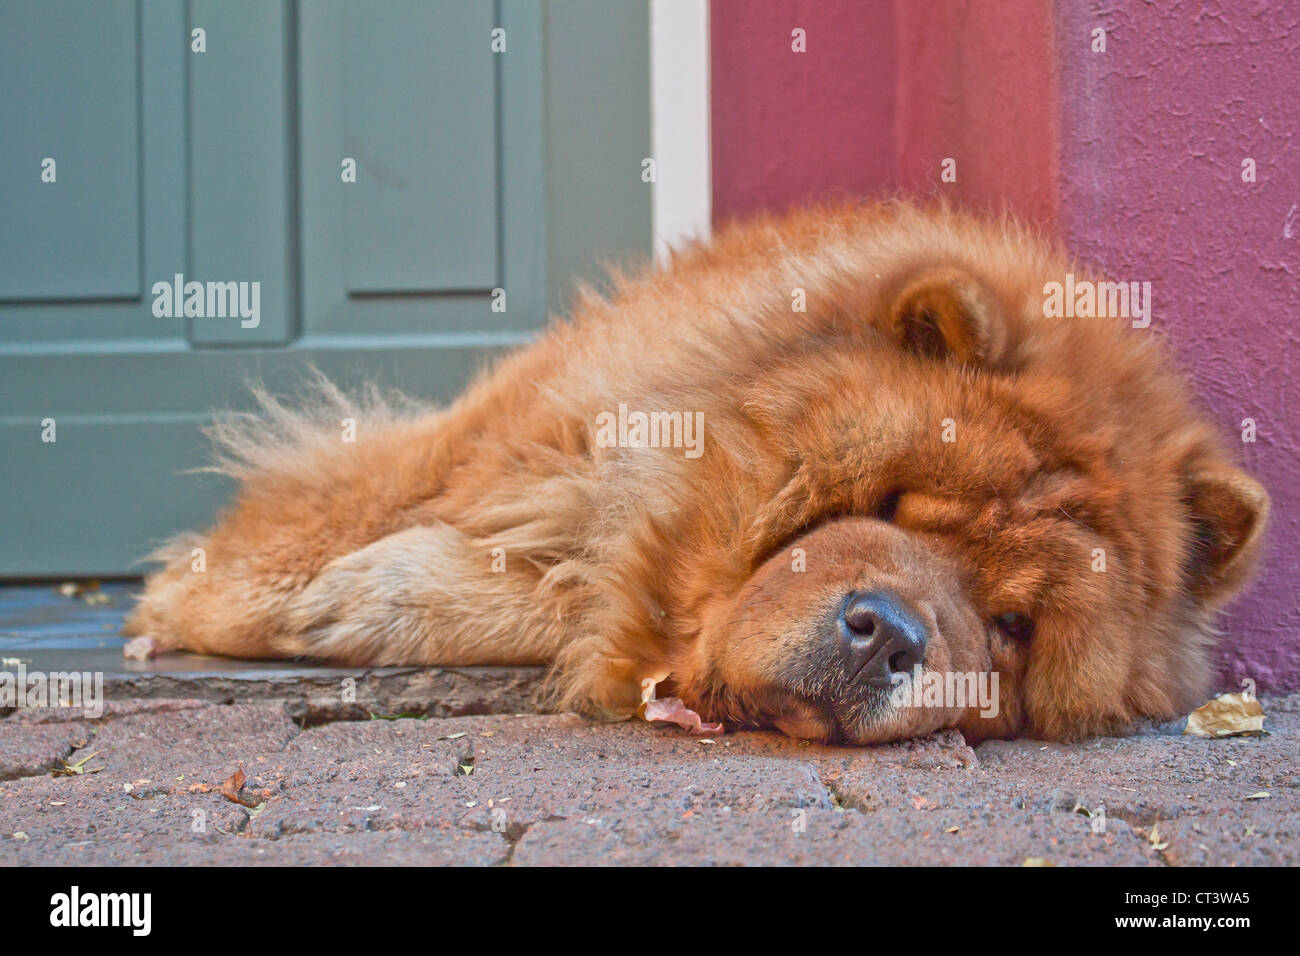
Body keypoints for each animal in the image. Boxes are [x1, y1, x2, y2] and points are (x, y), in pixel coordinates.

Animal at [124, 201, 1268, 743]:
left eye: (1014, 626)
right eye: (892, 502)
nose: (889, 636)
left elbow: (563, 594)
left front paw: (376, 598)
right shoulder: (538, 425)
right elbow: (355, 504)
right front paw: (197, 602)